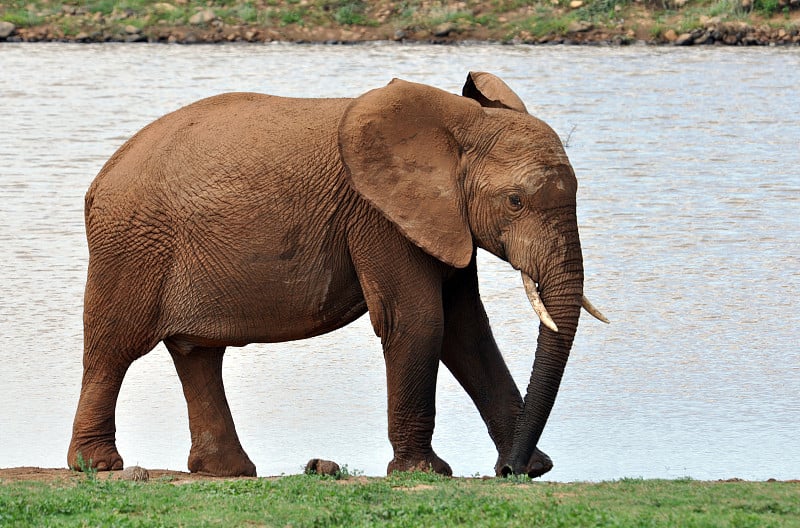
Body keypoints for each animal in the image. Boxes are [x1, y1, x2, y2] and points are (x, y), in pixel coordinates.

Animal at [69, 71, 608, 478]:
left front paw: (533, 469)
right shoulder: (379, 216)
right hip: (132, 243)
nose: (510, 469)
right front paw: (425, 472)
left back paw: (228, 472)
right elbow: (419, 320)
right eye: (515, 201)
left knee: (198, 353)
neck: (457, 122)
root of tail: (101, 177)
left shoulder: (442, 219)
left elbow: (465, 328)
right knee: (114, 347)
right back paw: (98, 465)